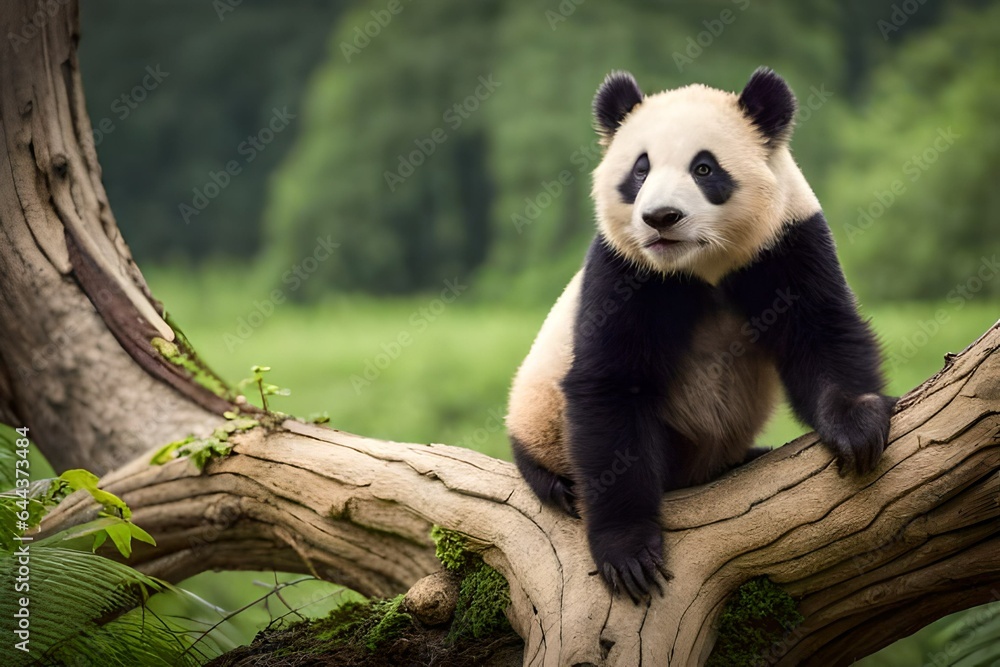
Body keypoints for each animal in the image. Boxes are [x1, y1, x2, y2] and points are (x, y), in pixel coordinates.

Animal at [506, 68, 895, 601]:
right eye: (640, 170)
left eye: (704, 169)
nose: (661, 218)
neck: (698, 264)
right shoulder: (623, 269)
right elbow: (611, 385)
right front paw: (629, 554)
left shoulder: (787, 240)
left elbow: (821, 332)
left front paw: (856, 429)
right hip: (539, 409)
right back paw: (558, 485)